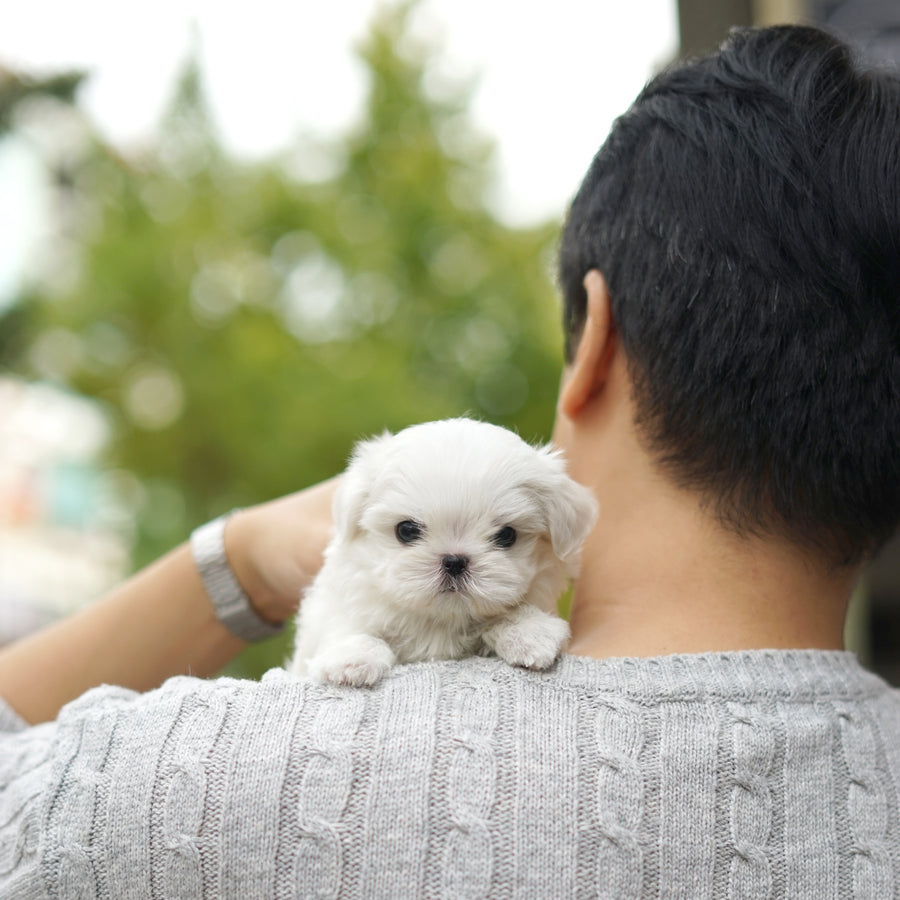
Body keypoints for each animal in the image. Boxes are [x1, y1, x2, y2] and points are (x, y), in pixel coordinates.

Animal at [286, 418, 596, 684]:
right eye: (406, 530)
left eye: (507, 535)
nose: (454, 561)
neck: (442, 621)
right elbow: (347, 626)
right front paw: (351, 659)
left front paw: (531, 633)